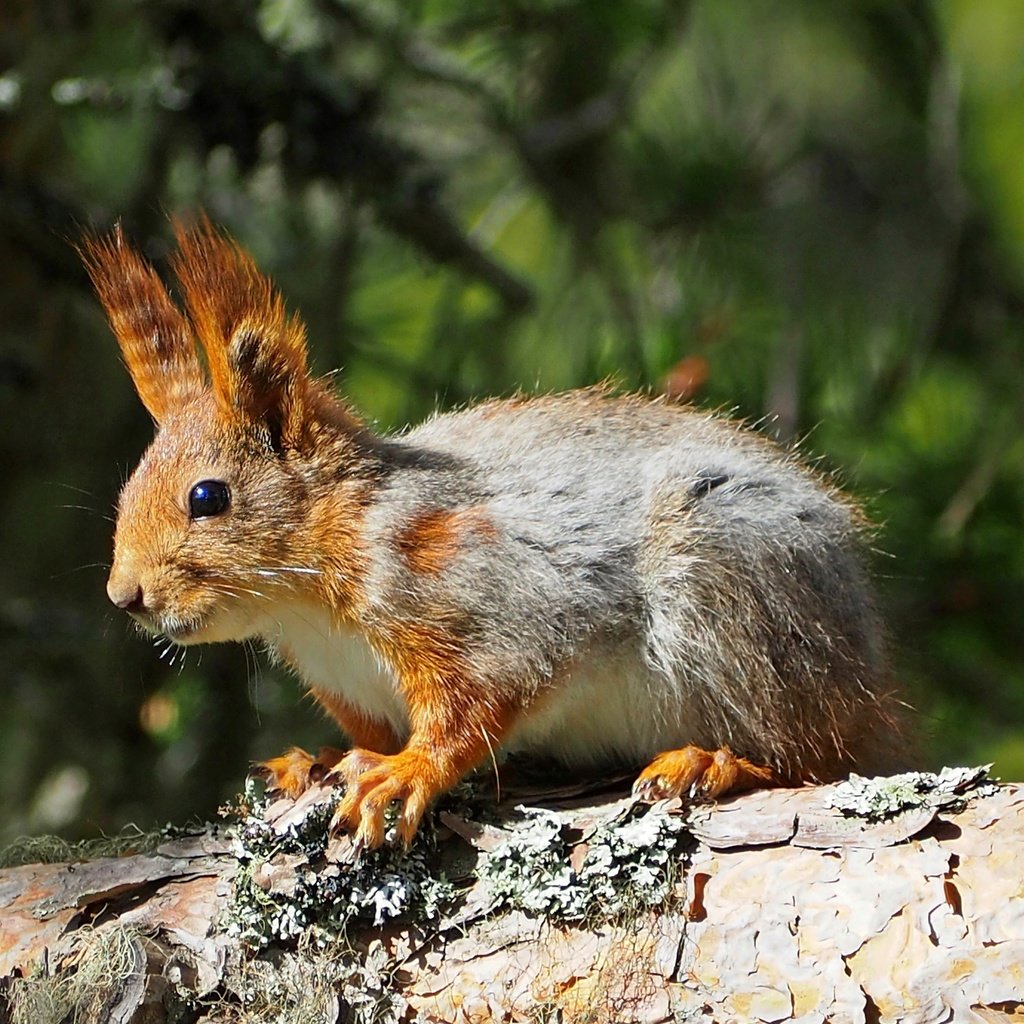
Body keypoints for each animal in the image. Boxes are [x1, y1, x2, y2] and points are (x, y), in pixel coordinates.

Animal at [81, 214, 905, 847]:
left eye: (208, 496)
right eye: (128, 487)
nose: (125, 597)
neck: (308, 602)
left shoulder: (478, 596)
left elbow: (479, 701)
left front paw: (405, 774)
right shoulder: (349, 684)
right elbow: (367, 735)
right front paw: (319, 761)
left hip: (736, 597)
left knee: (815, 756)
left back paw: (714, 762)